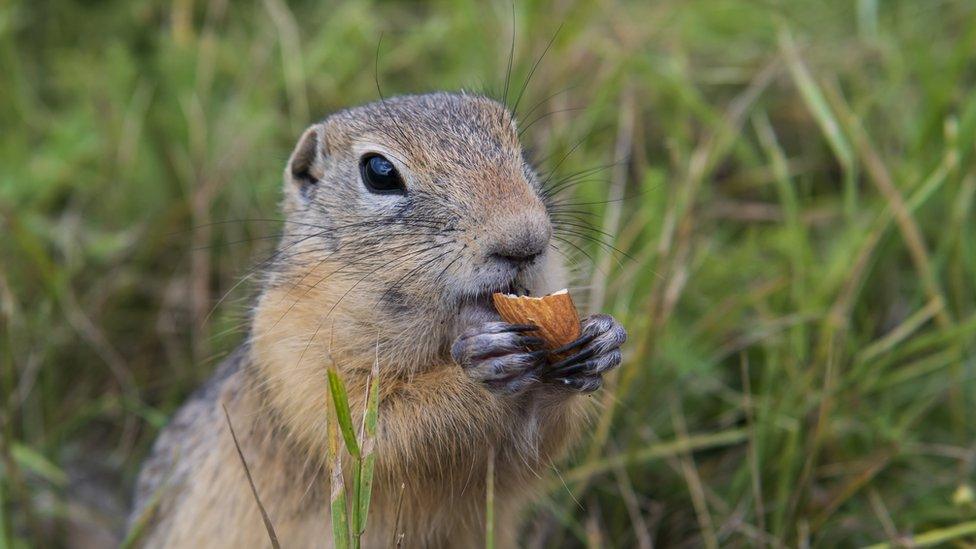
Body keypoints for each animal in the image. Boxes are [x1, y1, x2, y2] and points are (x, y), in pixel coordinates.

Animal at [127, 92, 624, 544]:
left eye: (518, 147)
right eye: (379, 172)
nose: (525, 240)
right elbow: (373, 433)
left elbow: (535, 450)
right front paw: (483, 364)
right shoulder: (292, 350)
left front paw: (602, 339)